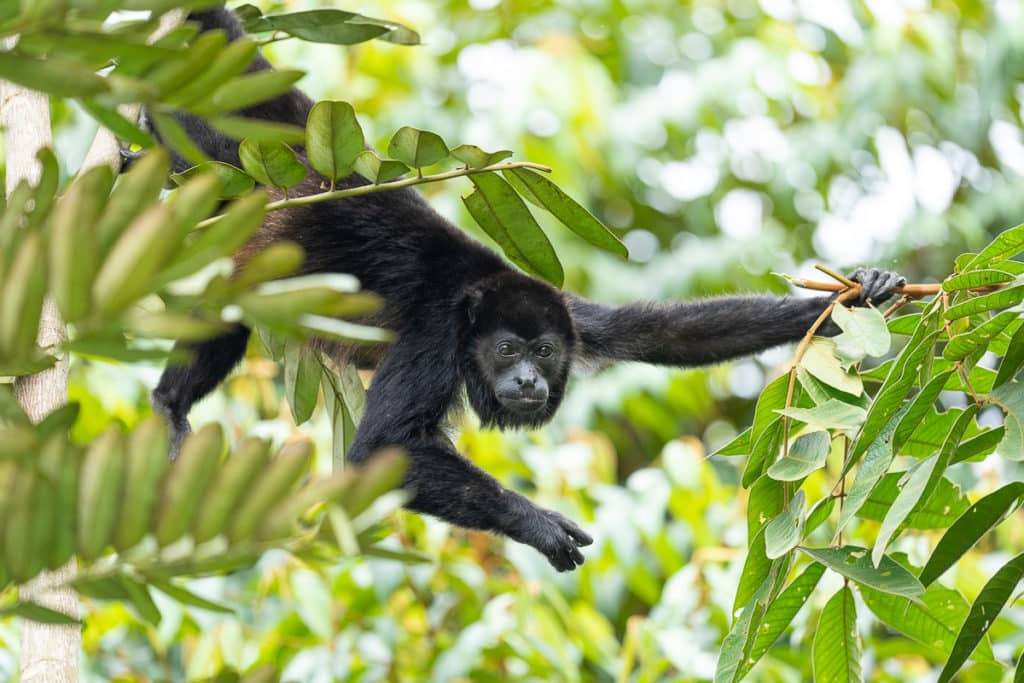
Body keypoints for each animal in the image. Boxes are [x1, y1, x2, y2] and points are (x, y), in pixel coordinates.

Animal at [149, 10, 905, 573]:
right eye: (507, 348)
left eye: (543, 351)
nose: (528, 382)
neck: (474, 306)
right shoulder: (433, 336)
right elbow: (386, 450)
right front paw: (535, 523)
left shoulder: (573, 318)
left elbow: (663, 334)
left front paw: (851, 298)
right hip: (214, 150)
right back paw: (168, 403)